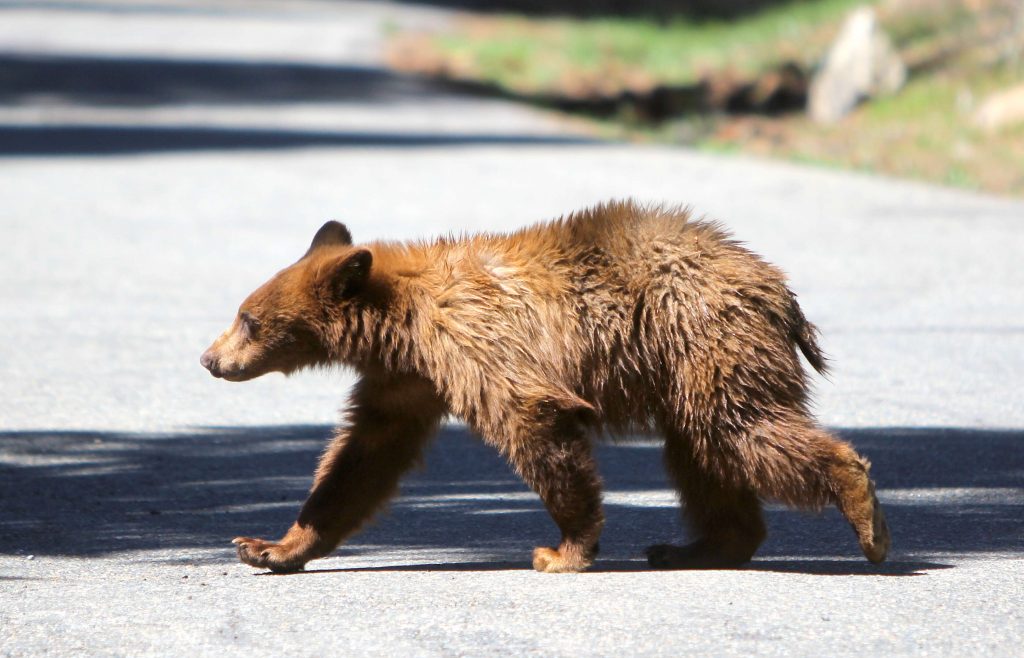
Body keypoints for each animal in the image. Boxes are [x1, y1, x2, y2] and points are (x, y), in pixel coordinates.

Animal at [201, 200, 890, 573]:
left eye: (248, 319)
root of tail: (777, 289)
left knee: (741, 430)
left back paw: (865, 512)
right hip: (688, 369)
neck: (402, 319)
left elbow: (534, 421)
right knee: (702, 455)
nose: (209, 358)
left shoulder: (476, 343)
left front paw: (563, 550)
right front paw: (269, 546)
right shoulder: (407, 378)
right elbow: (360, 459)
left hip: (704, 338)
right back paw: (699, 545)